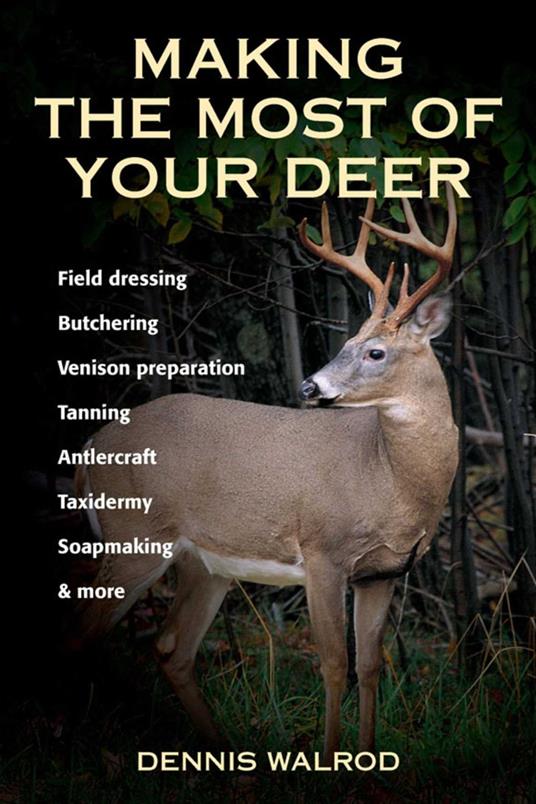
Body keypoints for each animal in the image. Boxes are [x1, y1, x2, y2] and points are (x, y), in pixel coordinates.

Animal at [72, 185, 459, 761]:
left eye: (374, 351)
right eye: (344, 344)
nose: (309, 387)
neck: (390, 480)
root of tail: (89, 447)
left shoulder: (384, 572)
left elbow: (370, 666)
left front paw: (367, 760)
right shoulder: (322, 552)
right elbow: (334, 665)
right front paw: (330, 760)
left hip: (205, 563)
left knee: (170, 646)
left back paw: (223, 752)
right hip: (133, 537)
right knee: (81, 635)